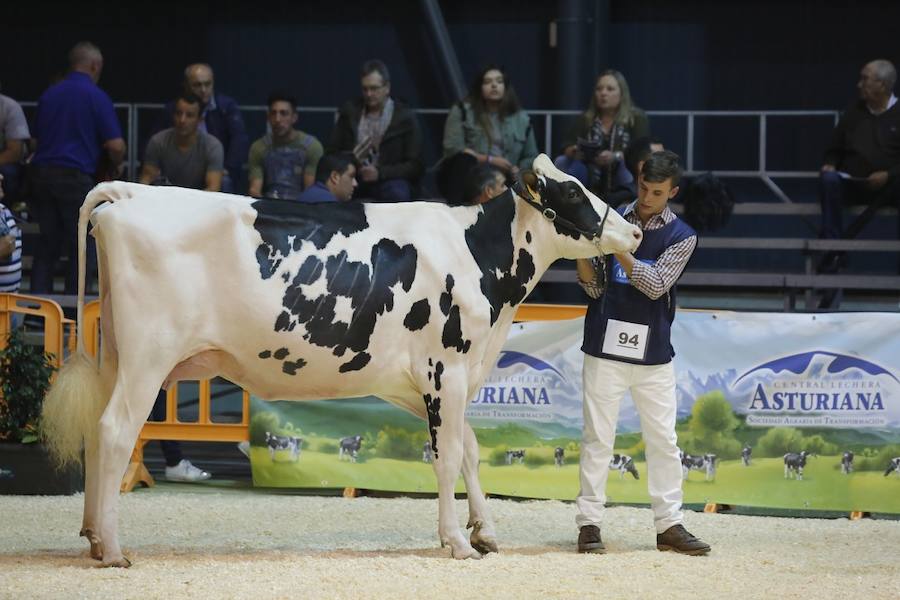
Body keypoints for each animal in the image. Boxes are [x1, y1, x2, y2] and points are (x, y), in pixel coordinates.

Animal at [42, 152, 644, 564]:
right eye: (573, 194)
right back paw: (113, 549)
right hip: (149, 357)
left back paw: (92, 535)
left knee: (97, 430)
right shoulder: (444, 370)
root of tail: (130, 193)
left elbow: (470, 449)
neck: (478, 256)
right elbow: (447, 456)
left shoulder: (424, 381)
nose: (635, 229)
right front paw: (456, 541)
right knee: (115, 431)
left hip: (119, 356)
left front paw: (485, 531)